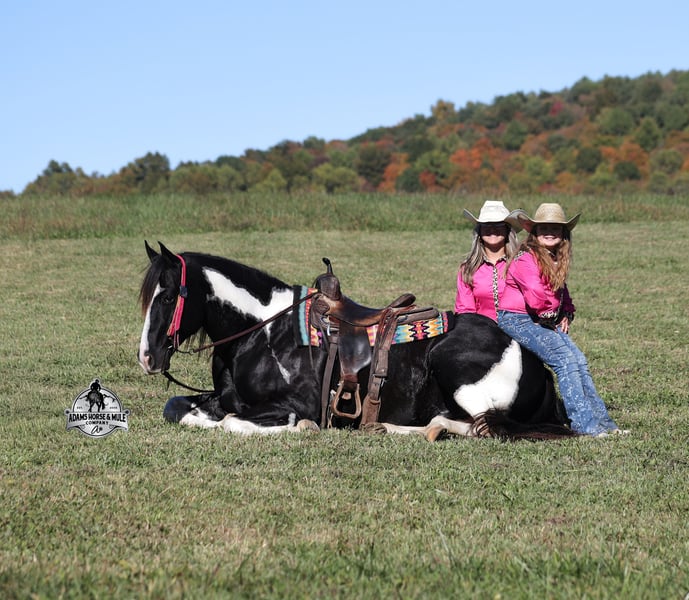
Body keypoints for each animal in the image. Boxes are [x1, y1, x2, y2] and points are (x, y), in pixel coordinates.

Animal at [138, 242, 572, 440]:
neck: (262, 331)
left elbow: (232, 422)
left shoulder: (296, 403)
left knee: (480, 426)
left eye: (167, 296)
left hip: (459, 373)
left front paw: (303, 427)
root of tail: (535, 364)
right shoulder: (223, 396)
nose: (146, 357)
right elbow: (178, 408)